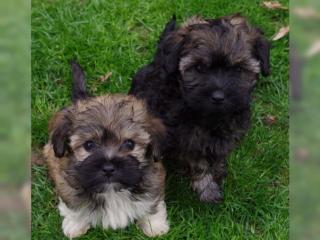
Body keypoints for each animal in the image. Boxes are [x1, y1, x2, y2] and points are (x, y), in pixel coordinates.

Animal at [45, 62, 171, 238]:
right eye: (89, 145)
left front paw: (154, 226)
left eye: (129, 144)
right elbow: (73, 206)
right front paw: (75, 224)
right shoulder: (66, 184)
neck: (111, 192)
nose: (109, 168)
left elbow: (152, 203)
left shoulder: (154, 180)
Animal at [129, 14, 272, 202]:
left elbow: (217, 154)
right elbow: (199, 164)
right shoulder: (188, 141)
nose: (218, 96)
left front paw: (218, 170)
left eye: (237, 69)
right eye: (199, 67)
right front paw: (207, 188)